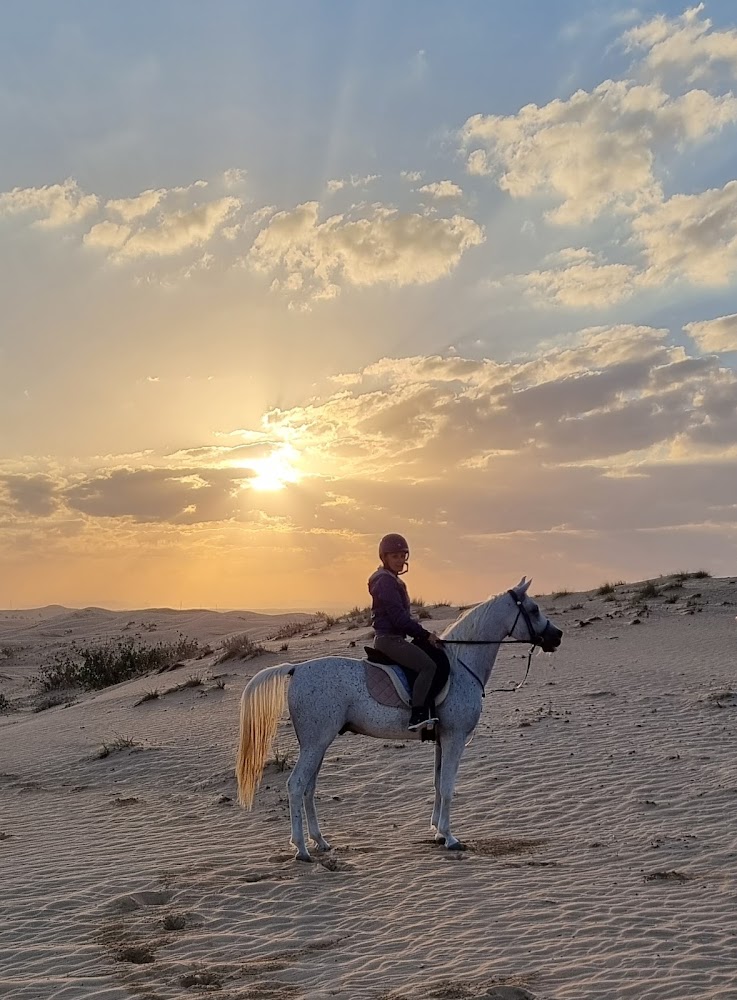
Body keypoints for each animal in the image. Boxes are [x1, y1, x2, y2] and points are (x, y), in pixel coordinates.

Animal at [235, 578, 563, 860]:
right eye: (533, 609)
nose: (557, 636)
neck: (461, 664)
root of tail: (297, 669)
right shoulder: (455, 738)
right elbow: (447, 787)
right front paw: (450, 837)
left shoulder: (442, 740)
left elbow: (437, 784)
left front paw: (437, 832)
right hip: (316, 743)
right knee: (296, 785)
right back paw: (302, 849)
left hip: (317, 744)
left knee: (308, 788)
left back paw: (320, 841)